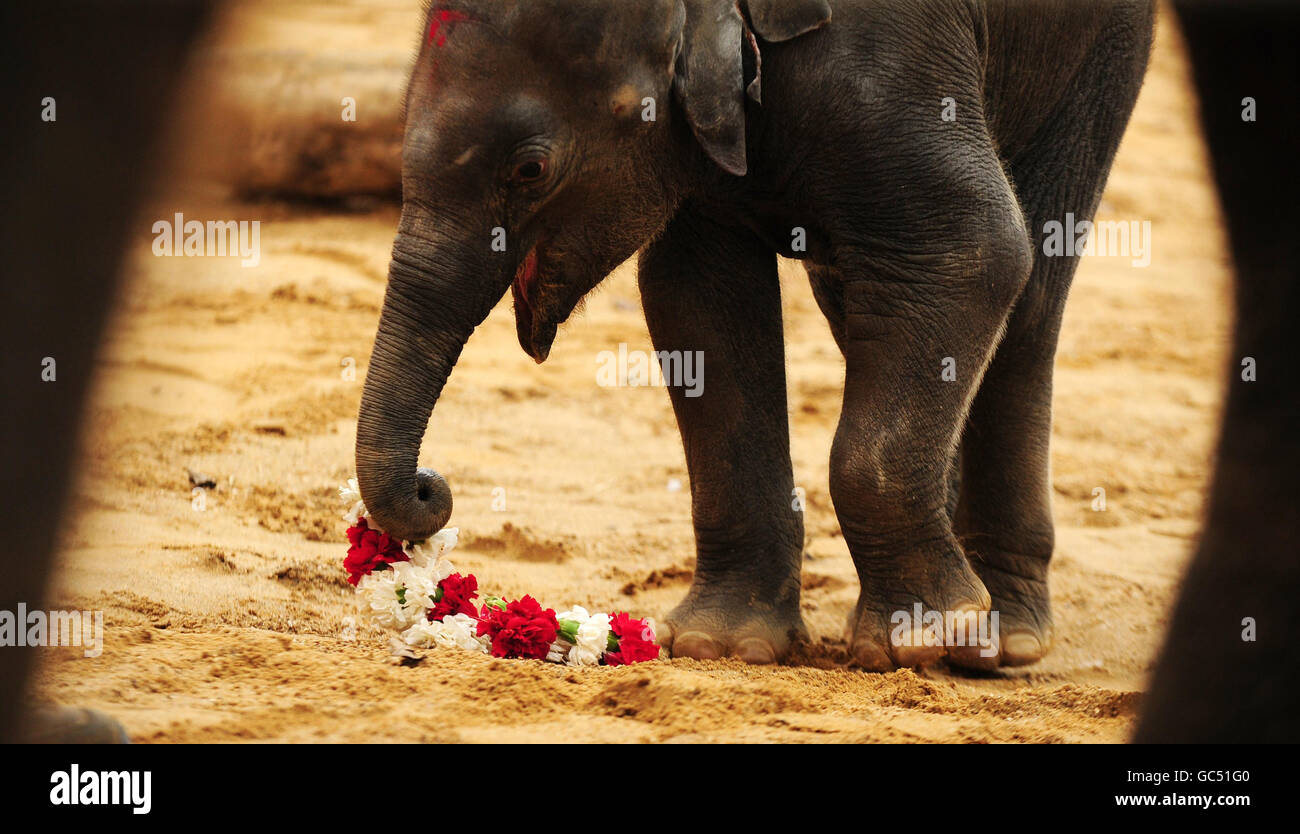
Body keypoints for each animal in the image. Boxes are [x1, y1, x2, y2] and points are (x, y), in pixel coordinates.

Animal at [355, 0, 1155, 670]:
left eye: (531, 168)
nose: (430, 489)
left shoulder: (890, 58)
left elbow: (973, 250)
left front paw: (914, 642)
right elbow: (696, 298)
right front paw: (723, 645)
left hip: (1102, 57)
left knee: (1031, 295)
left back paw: (1001, 638)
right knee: (862, 301)